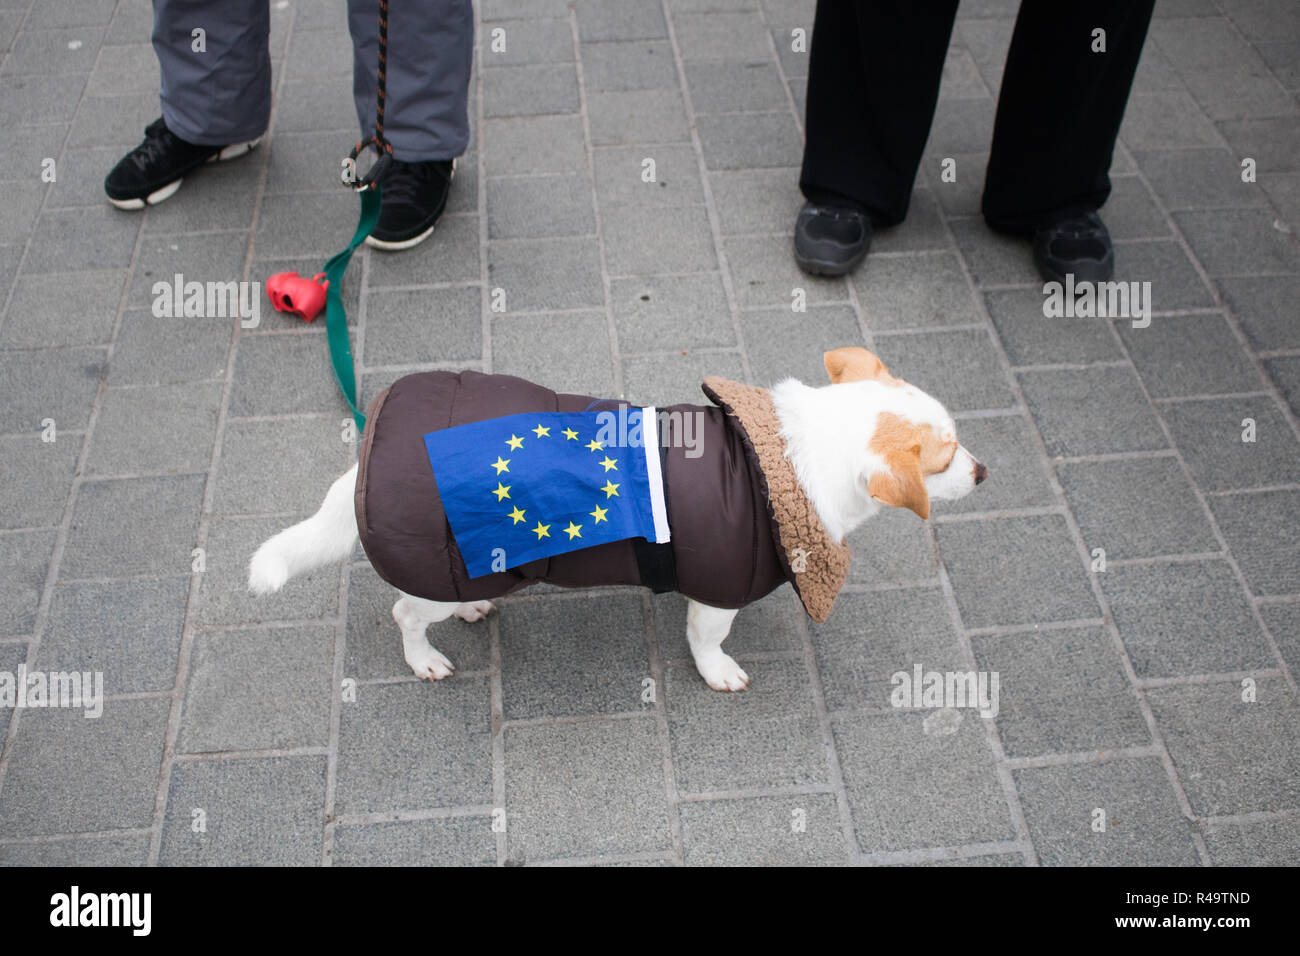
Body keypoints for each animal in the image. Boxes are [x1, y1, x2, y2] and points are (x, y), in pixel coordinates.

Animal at [248, 348, 982, 691]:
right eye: (945, 461)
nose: (982, 473)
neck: (786, 454)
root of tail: (367, 461)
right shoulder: (719, 592)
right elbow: (708, 640)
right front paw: (718, 672)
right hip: (444, 573)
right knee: (405, 615)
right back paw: (424, 656)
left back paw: (469, 611)